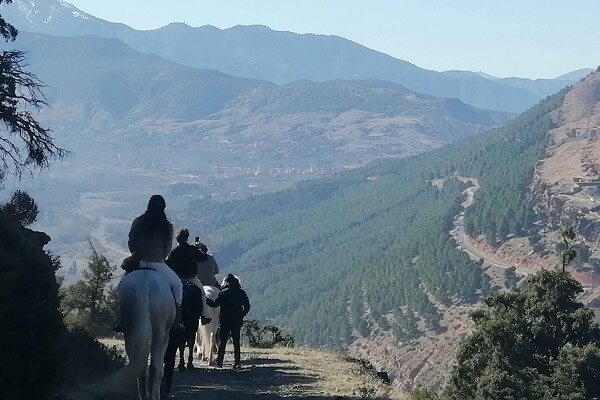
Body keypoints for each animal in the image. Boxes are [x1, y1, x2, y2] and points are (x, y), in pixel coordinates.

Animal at [108, 268, 175, 400]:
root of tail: (145, 283)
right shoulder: (165, 337)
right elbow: (160, 369)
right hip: (159, 333)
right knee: (154, 367)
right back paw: (152, 396)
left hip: (130, 330)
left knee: (136, 363)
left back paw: (140, 395)